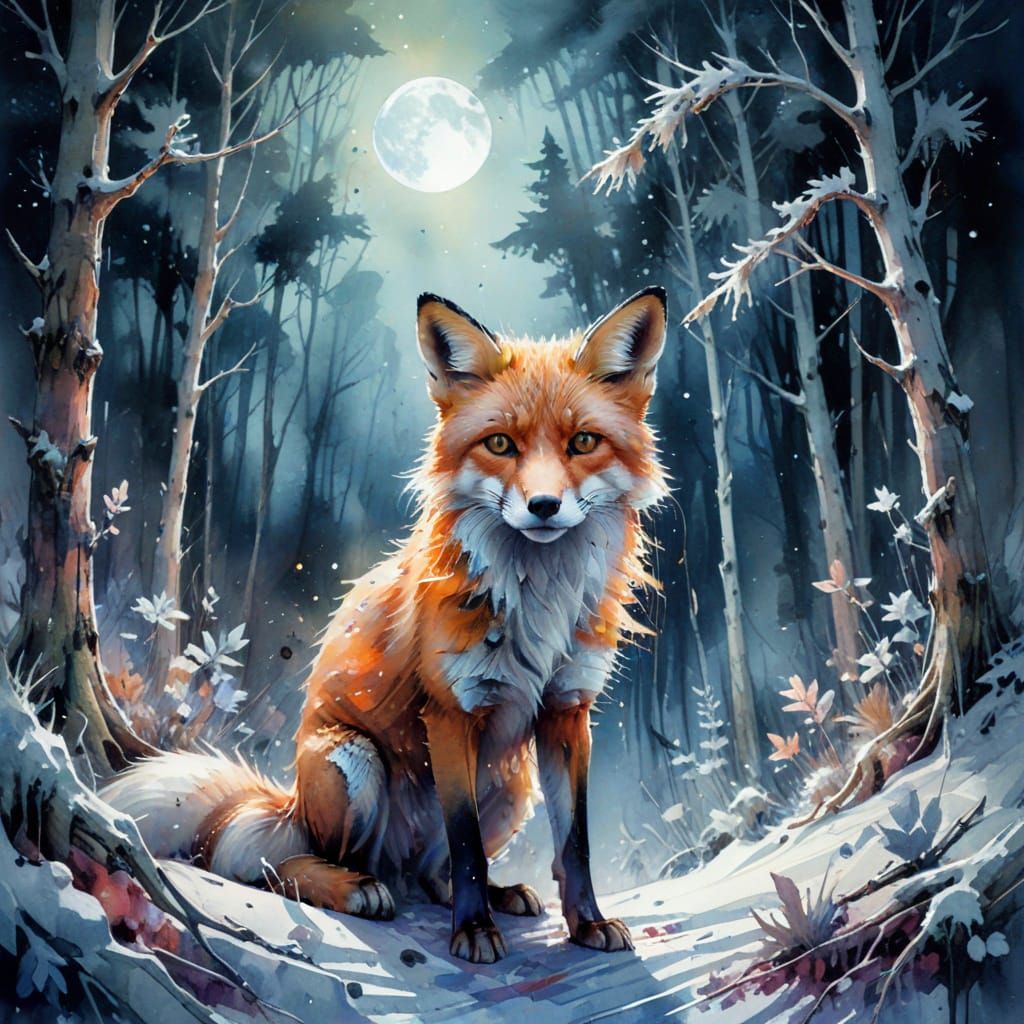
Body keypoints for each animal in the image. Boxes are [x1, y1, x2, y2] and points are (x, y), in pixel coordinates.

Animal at [102, 286, 669, 963]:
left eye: (583, 442)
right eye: (500, 445)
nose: (543, 506)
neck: (538, 600)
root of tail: (288, 805)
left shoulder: (567, 710)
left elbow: (572, 843)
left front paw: (586, 925)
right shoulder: (450, 713)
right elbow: (466, 843)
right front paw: (472, 933)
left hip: (513, 784)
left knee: (430, 875)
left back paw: (495, 893)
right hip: (355, 761)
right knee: (291, 868)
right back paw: (356, 889)